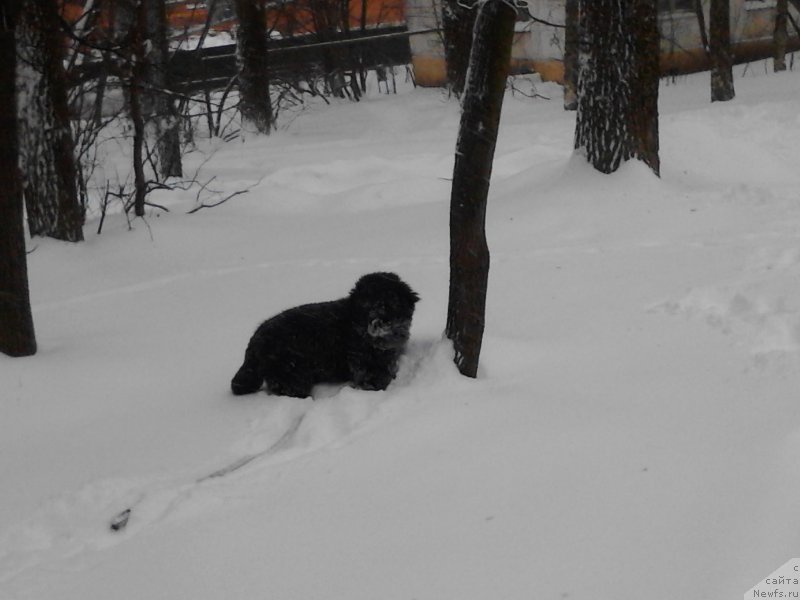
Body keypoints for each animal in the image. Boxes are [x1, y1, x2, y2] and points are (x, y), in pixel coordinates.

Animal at [230, 274, 418, 398]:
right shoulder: (365, 369)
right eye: (366, 305)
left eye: (389, 302)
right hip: (293, 377)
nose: (376, 321)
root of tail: (256, 339)